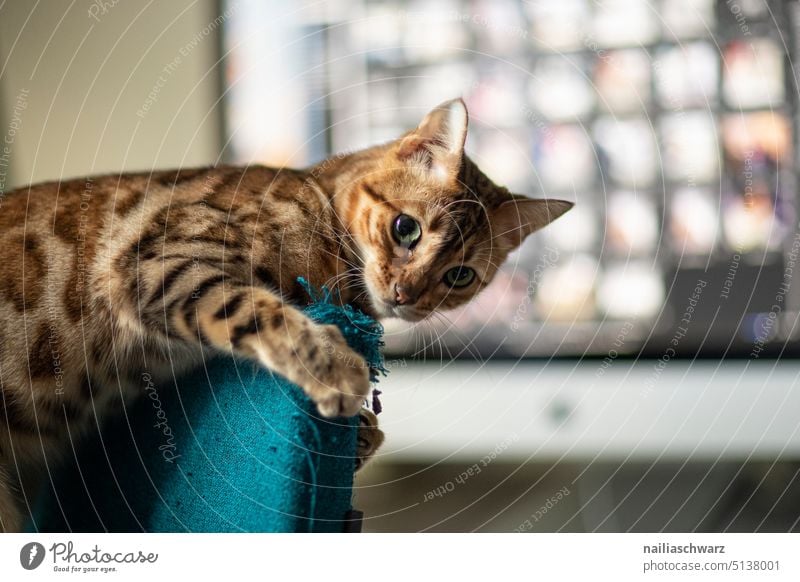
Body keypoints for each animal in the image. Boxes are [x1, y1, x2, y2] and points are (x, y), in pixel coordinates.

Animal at [0, 99, 576, 532]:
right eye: (406, 228)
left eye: (460, 277)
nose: (406, 294)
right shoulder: (158, 259)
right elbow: (259, 309)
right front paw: (335, 368)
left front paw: (365, 432)